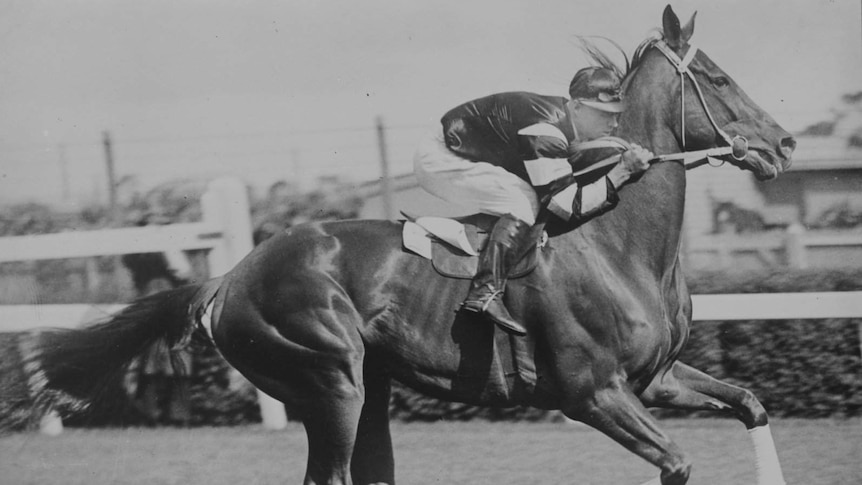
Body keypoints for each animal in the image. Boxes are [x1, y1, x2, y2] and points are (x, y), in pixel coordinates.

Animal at [16, 4, 796, 484]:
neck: (621, 246)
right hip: (331, 381)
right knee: (328, 473)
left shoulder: (655, 378)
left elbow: (752, 402)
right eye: (719, 77)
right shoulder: (592, 391)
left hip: (370, 389)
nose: (784, 142)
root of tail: (227, 278)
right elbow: (676, 462)